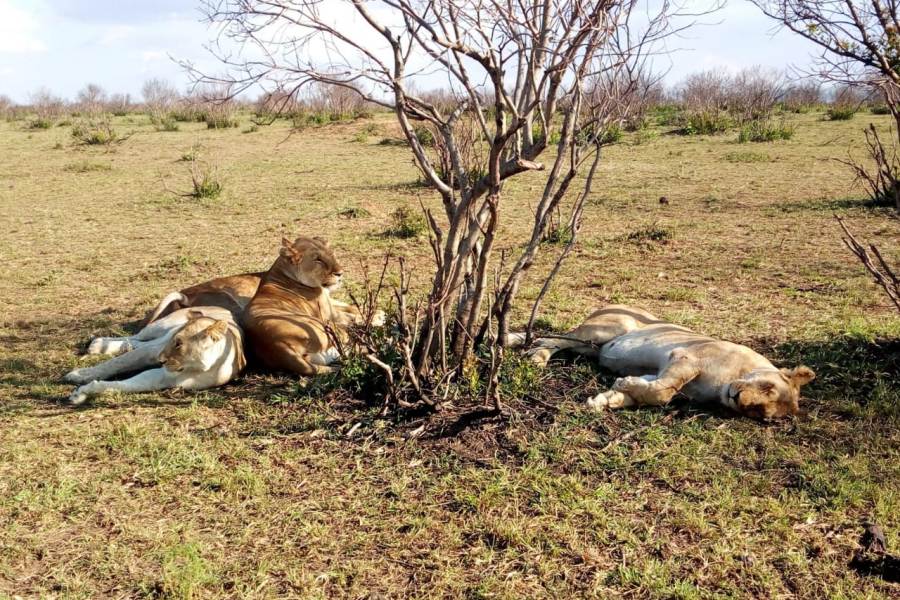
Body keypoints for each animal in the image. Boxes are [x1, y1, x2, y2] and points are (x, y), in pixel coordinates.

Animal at [65, 308, 244, 406]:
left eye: (179, 343)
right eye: (175, 341)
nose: (161, 360)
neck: (201, 366)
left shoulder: (165, 379)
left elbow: (123, 385)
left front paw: (82, 393)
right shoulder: (153, 351)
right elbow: (116, 363)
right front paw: (80, 375)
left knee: (135, 343)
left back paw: (98, 345)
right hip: (159, 328)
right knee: (137, 337)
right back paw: (97, 344)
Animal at [241, 236, 374, 372]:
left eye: (331, 254)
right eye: (318, 260)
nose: (340, 273)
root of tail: (276, 345)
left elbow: (350, 309)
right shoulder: (329, 314)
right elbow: (352, 317)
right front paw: (374, 317)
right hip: (322, 326)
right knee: (347, 339)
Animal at [528, 304, 816, 418]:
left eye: (759, 413)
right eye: (768, 387)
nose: (738, 399)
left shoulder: (660, 374)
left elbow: (648, 392)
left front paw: (605, 399)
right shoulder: (684, 358)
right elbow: (664, 391)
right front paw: (622, 383)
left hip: (591, 347)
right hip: (606, 330)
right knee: (549, 340)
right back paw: (536, 359)